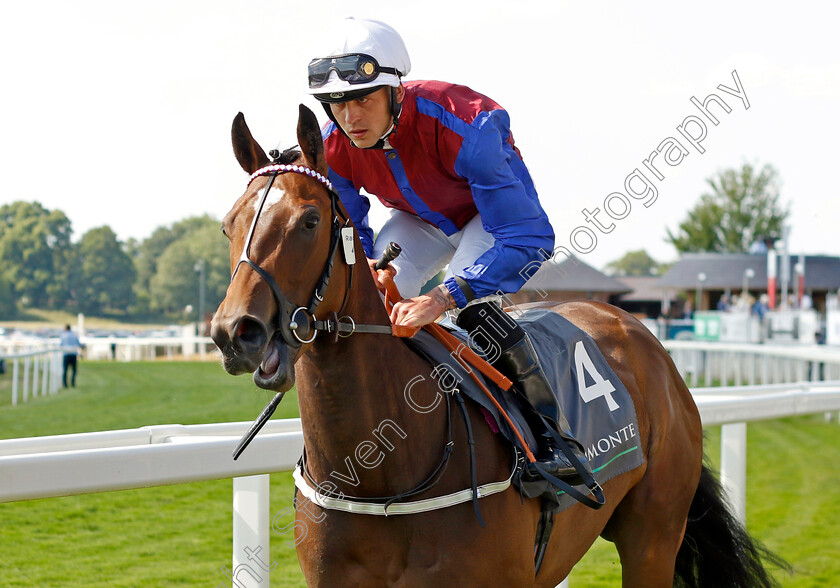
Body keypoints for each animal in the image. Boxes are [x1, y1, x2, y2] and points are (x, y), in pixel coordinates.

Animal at [210, 103, 780, 584]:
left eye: (309, 220)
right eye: (227, 225)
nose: (235, 332)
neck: (382, 473)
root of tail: (640, 333)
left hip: (654, 537)